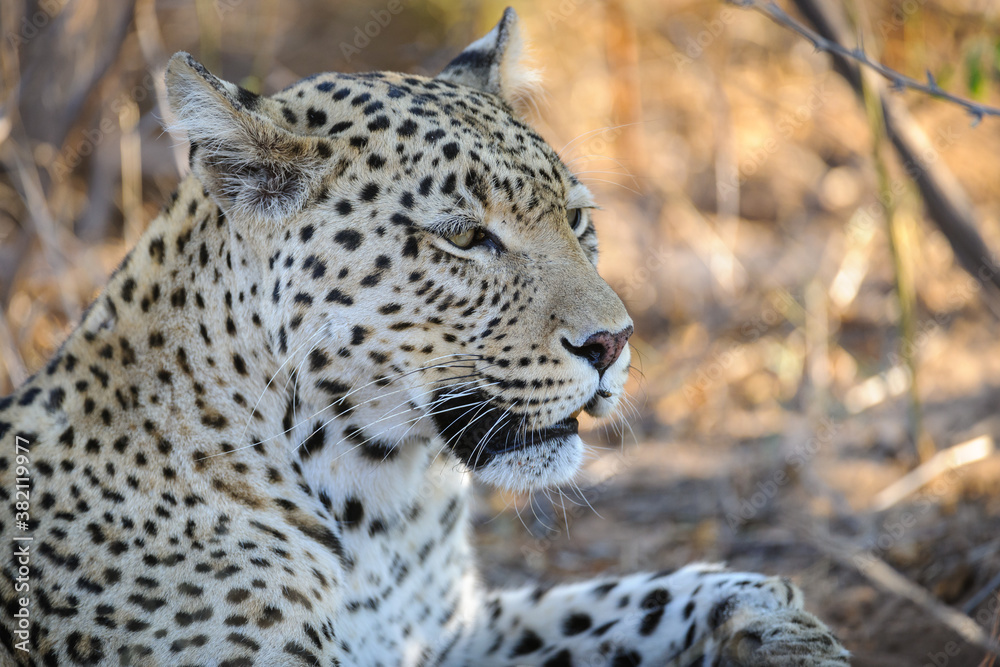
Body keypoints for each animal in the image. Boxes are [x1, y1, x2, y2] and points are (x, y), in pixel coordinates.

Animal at [0, 9, 850, 666]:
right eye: (464, 237)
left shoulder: (450, 631)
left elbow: (618, 599)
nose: (614, 342)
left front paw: (771, 612)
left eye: (577, 218)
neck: (379, 503)